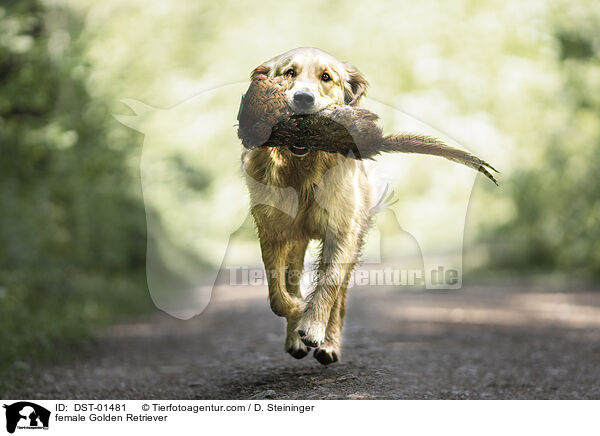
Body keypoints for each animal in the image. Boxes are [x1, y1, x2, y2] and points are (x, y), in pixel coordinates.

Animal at [240, 46, 372, 364]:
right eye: (290, 73)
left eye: (326, 77)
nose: (303, 98)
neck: (302, 171)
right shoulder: (273, 230)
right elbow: (278, 293)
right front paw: (299, 311)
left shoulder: (342, 230)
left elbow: (330, 283)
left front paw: (313, 326)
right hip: (296, 241)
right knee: (293, 278)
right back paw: (295, 334)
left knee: (340, 296)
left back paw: (329, 344)